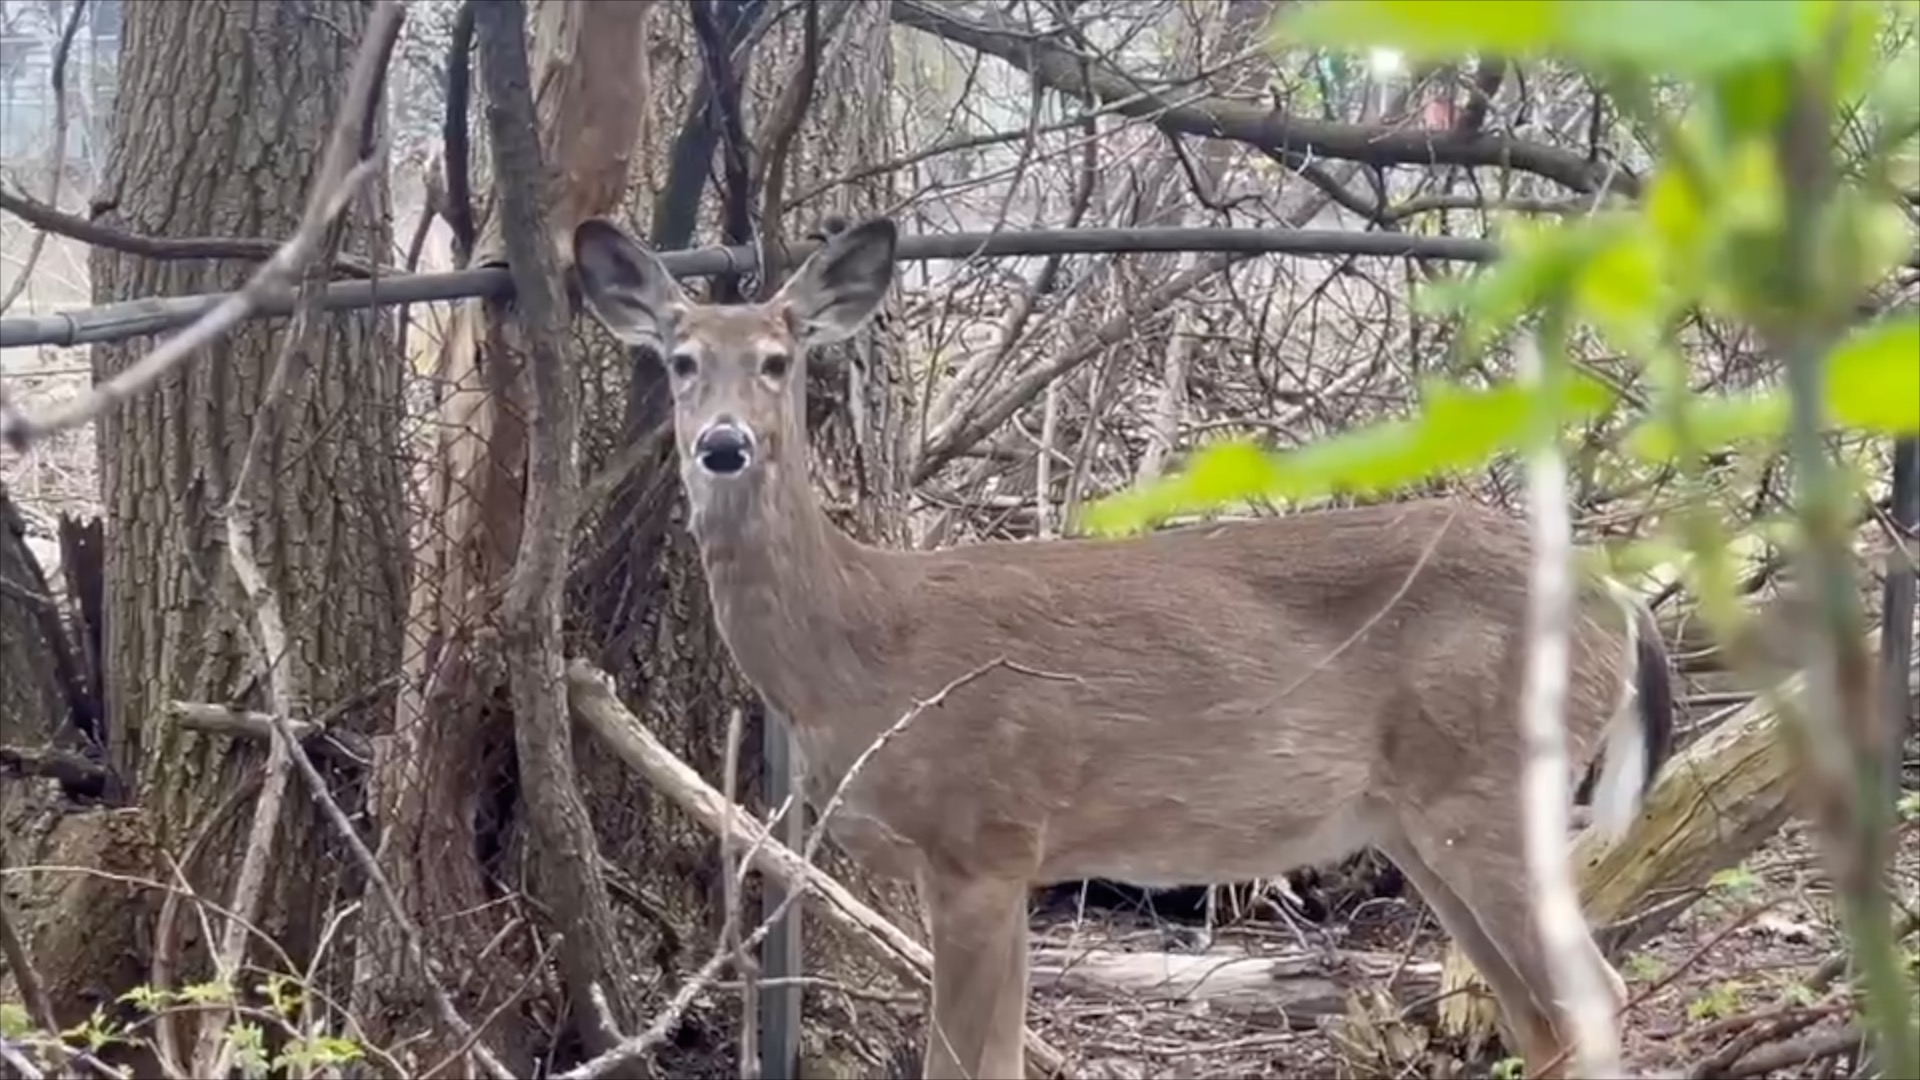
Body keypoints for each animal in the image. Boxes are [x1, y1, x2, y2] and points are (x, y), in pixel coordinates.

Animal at [571, 214, 1677, 1080]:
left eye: (778, 357)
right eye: (679, 359)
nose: (723, 444)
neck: (867, 648)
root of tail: (1622, 597)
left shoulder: (986, 836)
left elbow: (965, 1067)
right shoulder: (993, 865)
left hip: (1493, 783)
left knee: (1596, 996)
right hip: (1419, 819)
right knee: (1540, 1020)